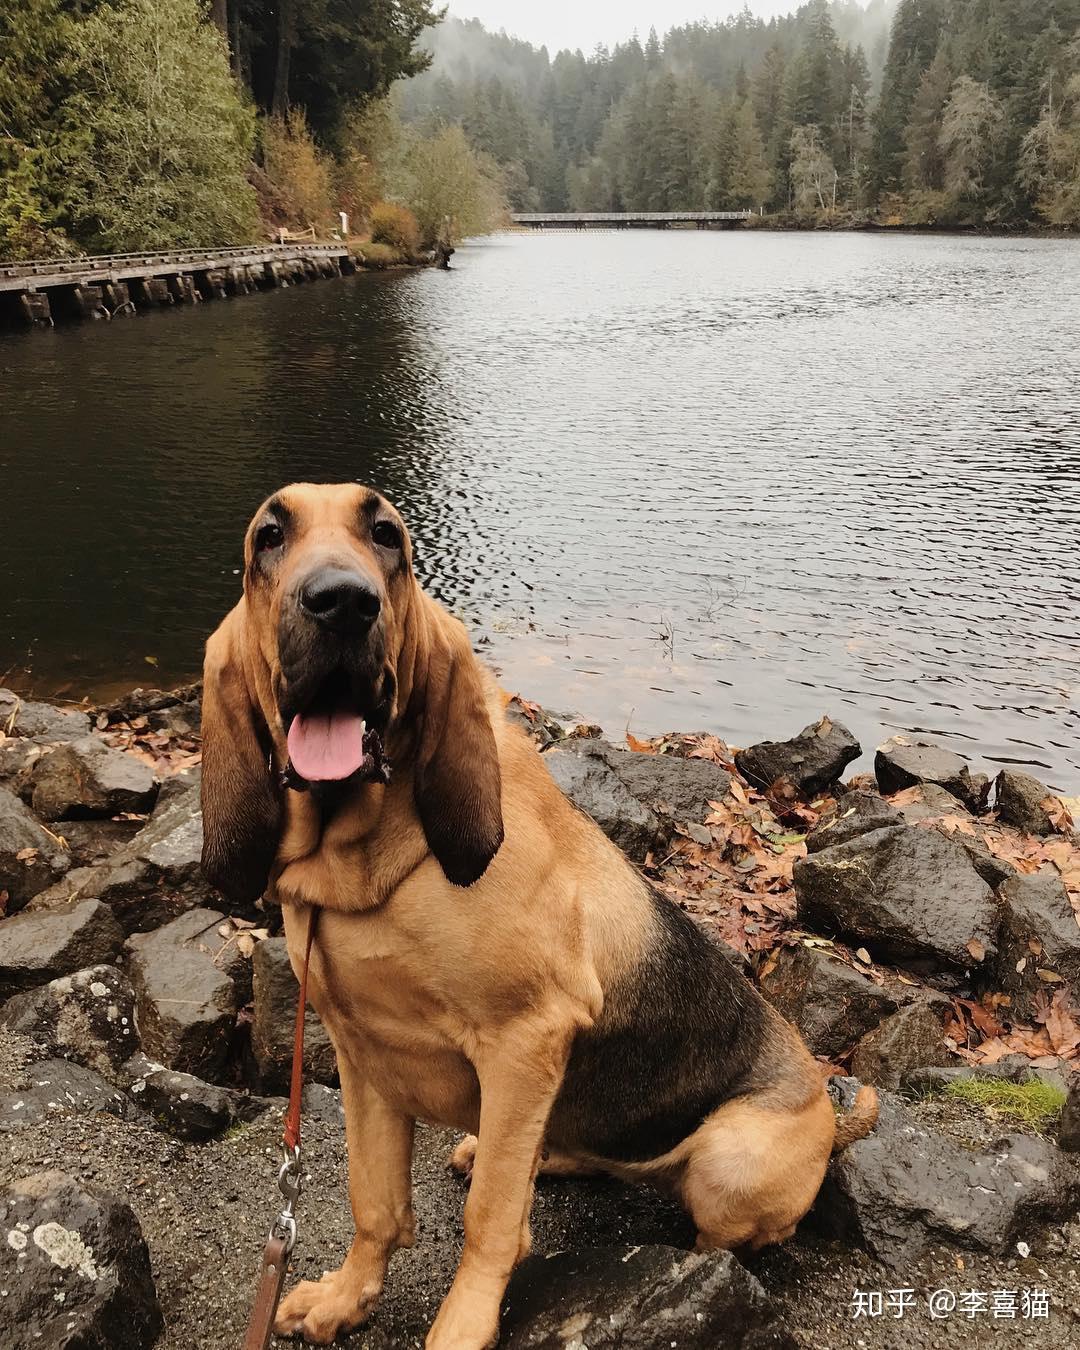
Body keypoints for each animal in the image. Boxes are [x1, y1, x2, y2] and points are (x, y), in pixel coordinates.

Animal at [199, 486, 874, 1350]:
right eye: (269, 537)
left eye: (387, 535)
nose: (342, 602)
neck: (373, 868)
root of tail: (827, 1109)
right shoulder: (363, 1057)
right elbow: (374, 1201)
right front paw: (345, 1298)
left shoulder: (527, 1038)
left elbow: (491, 1220)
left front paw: (462, 1324)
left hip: (731, 1161)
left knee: (708, 1224)